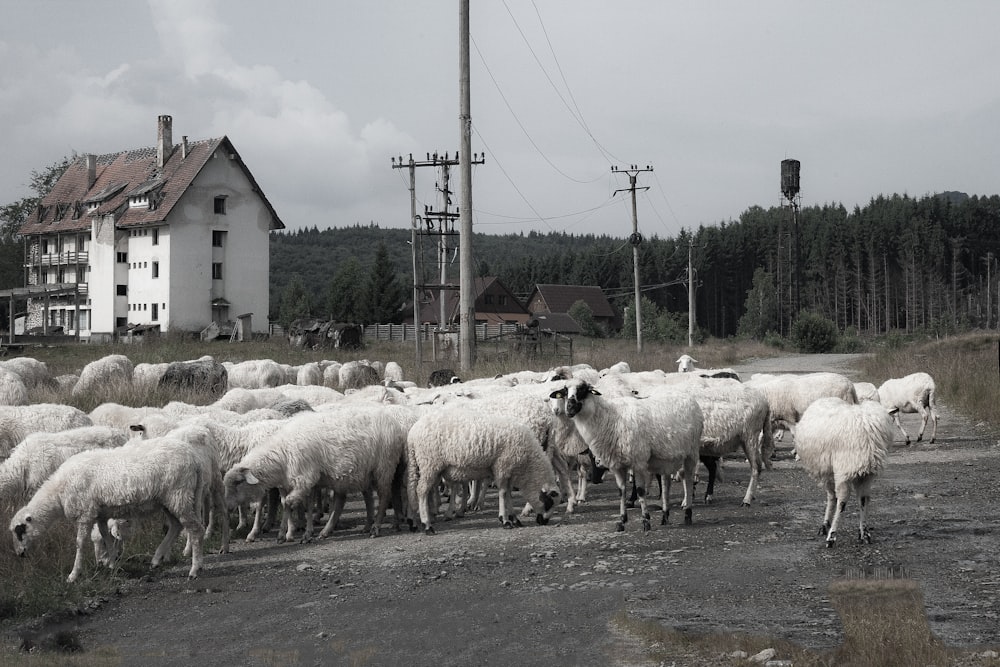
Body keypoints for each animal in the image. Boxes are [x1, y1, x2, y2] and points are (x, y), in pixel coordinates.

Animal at [10, 430, 215, 580]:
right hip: (170, 499)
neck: (58, 493)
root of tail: (194, 459)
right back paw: (157, 559)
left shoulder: (85, 513)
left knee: (195, 529)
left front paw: (73, 575)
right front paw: (111, 564)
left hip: (179, 494)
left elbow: (80, 543)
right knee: (176, 526)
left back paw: (195, 569)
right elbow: (105, 536)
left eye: (20, 530)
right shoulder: (100, 513)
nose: (20, 554)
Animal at [406, 404, 564, 536]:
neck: (528, 463)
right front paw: (505, 520)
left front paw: (514, 518)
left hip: (428, 466)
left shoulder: (508, 470)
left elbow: (508, 494)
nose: (544, 522)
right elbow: (503, 492)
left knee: (419, 490)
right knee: (422, 491)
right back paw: (427, 525)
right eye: (549, 502)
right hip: (429, 464)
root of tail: (413, 432)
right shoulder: (502, 466)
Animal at [548, 380, 704, 532]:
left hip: (692, 451)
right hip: (666, 457)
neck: (609, 418)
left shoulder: (638, 462)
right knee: (666, 483)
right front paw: (621, 521)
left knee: (688, 479)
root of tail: (689, 398)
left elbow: (640, 491)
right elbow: (621, 491)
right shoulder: (617, 465)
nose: (569, 408)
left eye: (583, 390)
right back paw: (665, 516)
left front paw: (646, 521)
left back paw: (688, 513)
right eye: (565, 392)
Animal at [792, 396, 896, 548]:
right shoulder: (843, 473)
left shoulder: (866, 475)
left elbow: (863, 500)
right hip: (827, 472)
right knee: (831, 497)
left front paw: (864, 533)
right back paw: (825, 525)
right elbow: (842, 503)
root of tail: (826, 398)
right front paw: (832, 536)